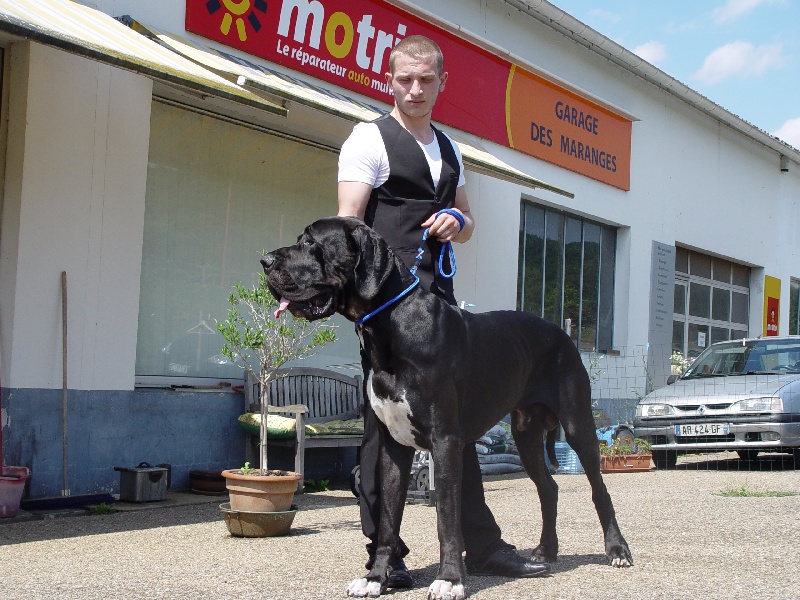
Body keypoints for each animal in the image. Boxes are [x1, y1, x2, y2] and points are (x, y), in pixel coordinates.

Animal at [262, 216, 632, 599]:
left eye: (311, 242)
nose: (265, 261)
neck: (392, 324)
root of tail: (562, 333)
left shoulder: (446, 442)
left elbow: (447, 519)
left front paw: (450, 579)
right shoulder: (393, 448)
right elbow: (387, 521)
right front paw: (376, 577)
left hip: (577, 425)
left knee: (599, 489)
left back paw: (617, 550)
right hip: (526, 434)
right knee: (549, 489)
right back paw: (545, 551)